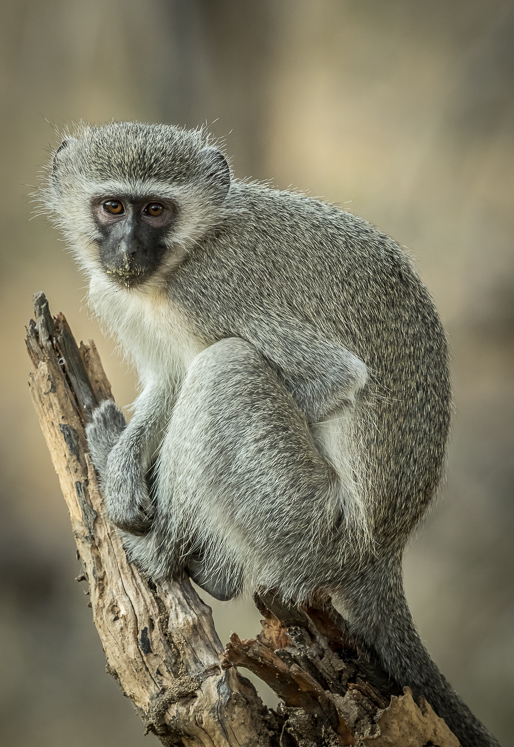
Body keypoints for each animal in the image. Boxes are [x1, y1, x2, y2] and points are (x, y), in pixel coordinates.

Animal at [42, 121, 499, 747]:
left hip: (307, 521)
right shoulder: (119, 293)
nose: (128, 251)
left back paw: (167, 555)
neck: (185, 253)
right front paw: (124, 469)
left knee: (226, 368)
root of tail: (382, 550)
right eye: (113, 207)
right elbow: (170, 378)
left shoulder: (211, 287)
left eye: (155, 210)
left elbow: (332, 377)